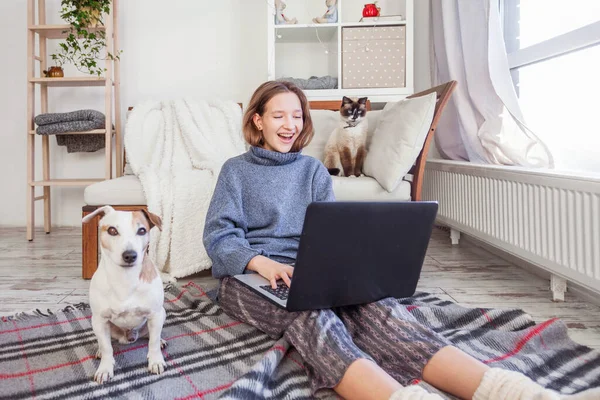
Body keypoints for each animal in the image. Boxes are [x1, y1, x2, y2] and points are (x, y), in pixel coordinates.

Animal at [81, 206, 166, 384]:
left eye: (142, 230)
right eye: (112, 230)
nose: (130, 255)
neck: (125, 278)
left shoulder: (155, 315)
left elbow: (153, 342)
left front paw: (156, 360)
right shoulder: (100, 320)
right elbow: (107, 348)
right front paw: (105, 368)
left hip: (162, 314)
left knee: (152, 336)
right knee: (104, 341)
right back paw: (99, 350)